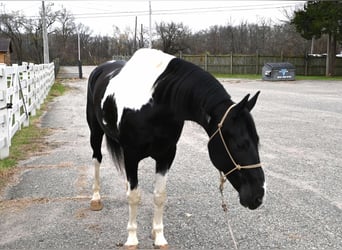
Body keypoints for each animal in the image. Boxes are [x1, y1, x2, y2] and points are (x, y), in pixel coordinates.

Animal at [87, 47, 266, 247]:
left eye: (257, 141)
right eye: (240, 144)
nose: (258, 196)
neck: (155, 104)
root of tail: (99, 69)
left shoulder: (166, 155)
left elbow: (159, 196)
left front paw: (158, 237)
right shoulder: (131, 155)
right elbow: (134, 197)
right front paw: (132, 239)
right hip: (95, 133)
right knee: (97, 159)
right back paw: (96, 198)